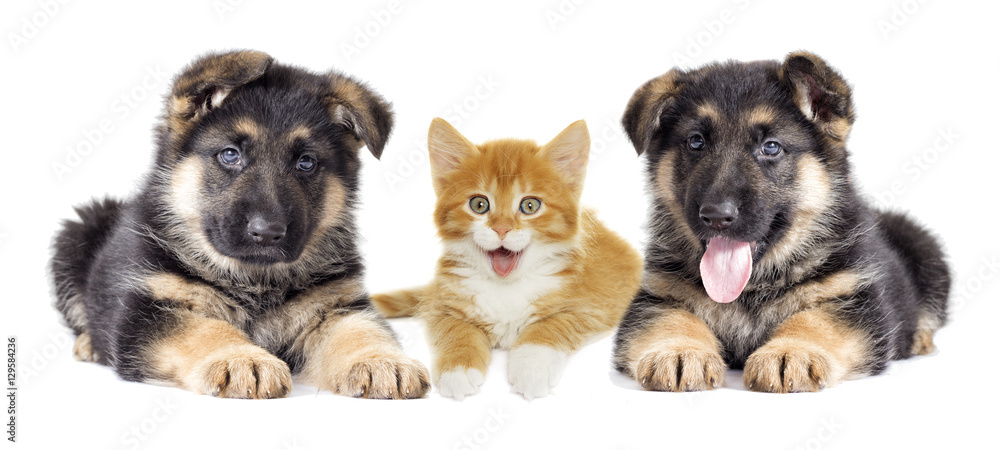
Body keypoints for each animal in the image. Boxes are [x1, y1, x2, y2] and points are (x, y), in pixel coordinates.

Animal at [374, 118, 640, 400]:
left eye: (530, 206)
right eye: (479, 204)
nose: (501, 229)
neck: (506, 287)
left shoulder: (593, 306)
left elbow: (550, 326)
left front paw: (532, 367)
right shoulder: (440, 304)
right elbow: (456, 330)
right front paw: (458, 368)